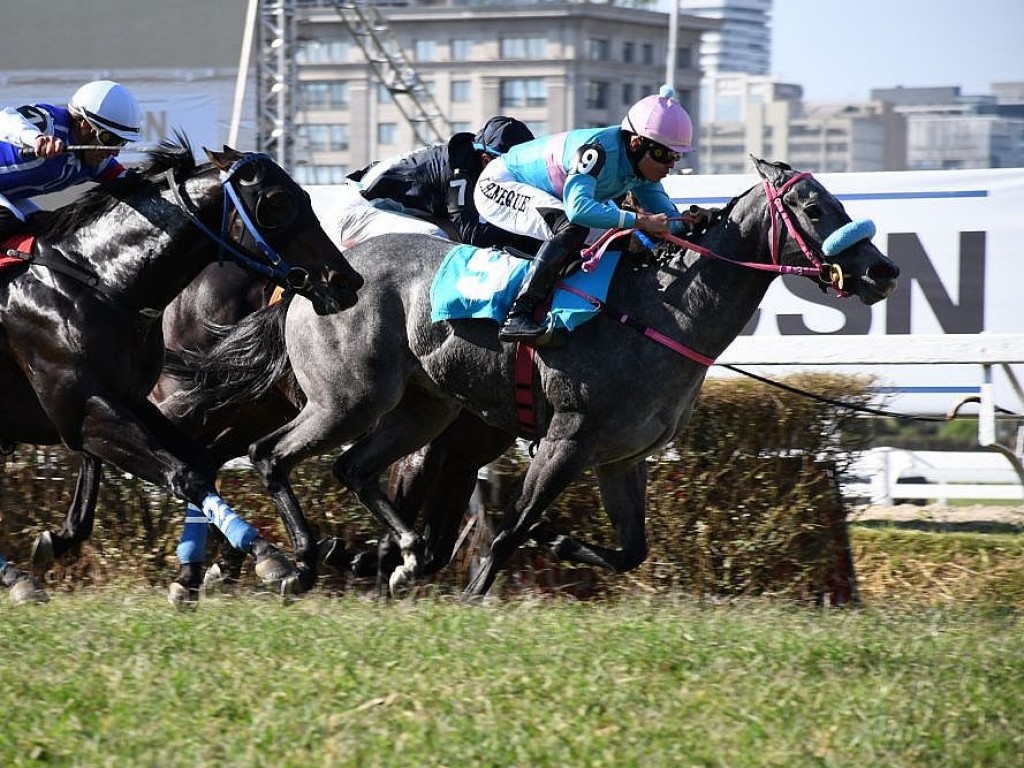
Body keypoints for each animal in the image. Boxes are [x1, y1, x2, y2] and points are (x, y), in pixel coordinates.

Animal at [0, 141, 362, 606]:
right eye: (275, 202)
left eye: (305, 195)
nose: (345, 280)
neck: (97, 281)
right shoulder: (84, 409)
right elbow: (182, 473)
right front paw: (271, 558)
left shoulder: (127, 400)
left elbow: (199, 464)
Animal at [176, 157, 897, 602]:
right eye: (813, 207)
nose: (881, 271)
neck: (660, 310)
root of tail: (315, 282)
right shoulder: (566, 440)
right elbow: (510, 528)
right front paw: (472, 592)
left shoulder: (621, 456)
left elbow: (630, 549)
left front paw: (555, 542)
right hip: (348, 400)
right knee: (270, 455)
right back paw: (295, 559)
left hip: (421, 408)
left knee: (351, 468)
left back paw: (388, 552)